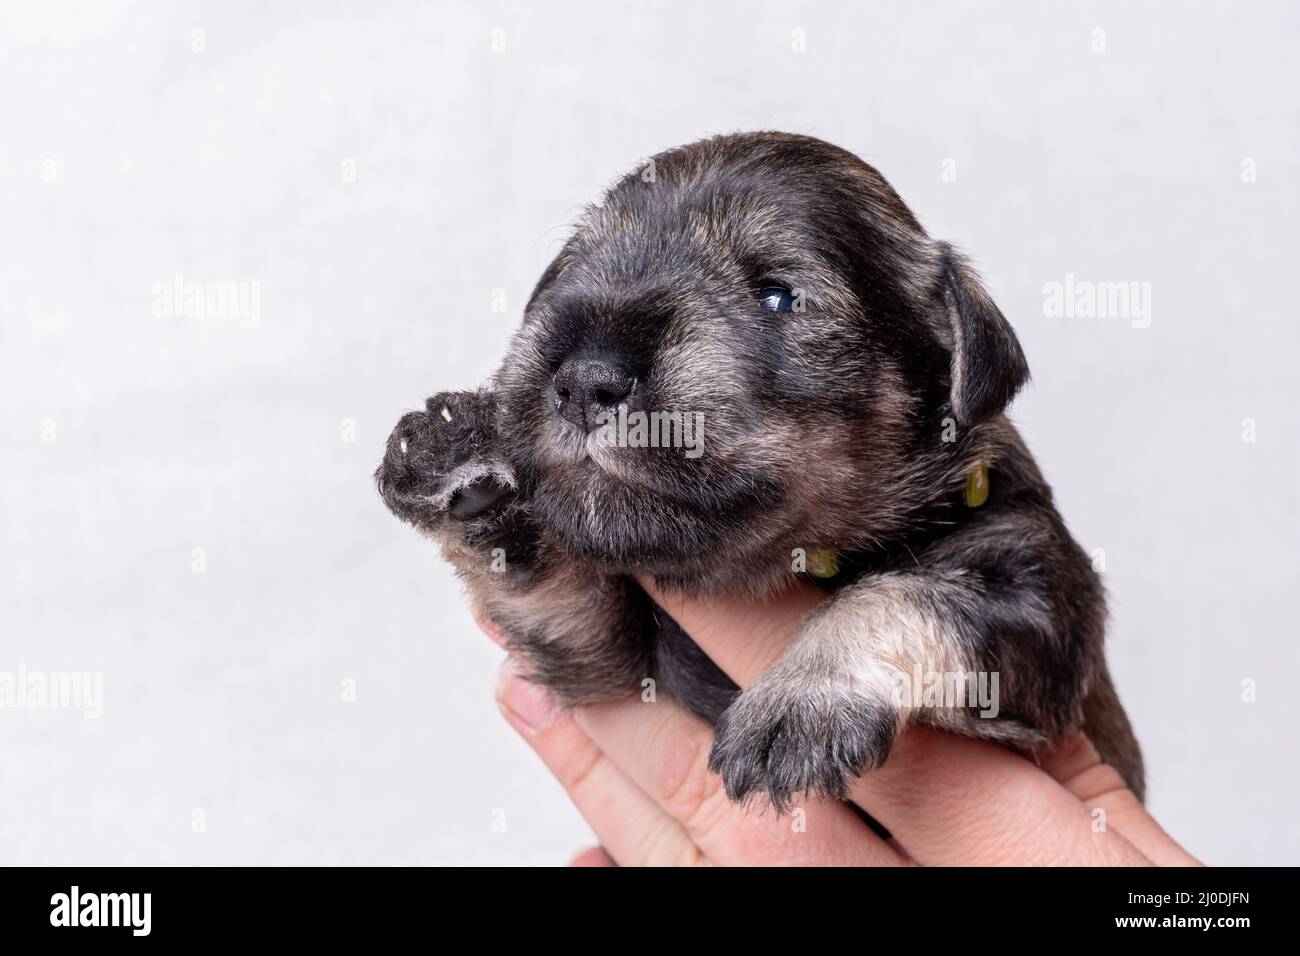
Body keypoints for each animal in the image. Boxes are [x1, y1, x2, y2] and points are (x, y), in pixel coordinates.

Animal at [371, 132, 1144, 806]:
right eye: (571, 273)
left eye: (778, 296)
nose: (584, 381)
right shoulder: (610, 662)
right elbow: (555, 586)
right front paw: (456, 451)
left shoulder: (1041, 596)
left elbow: (908, 591)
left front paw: (803, 696)